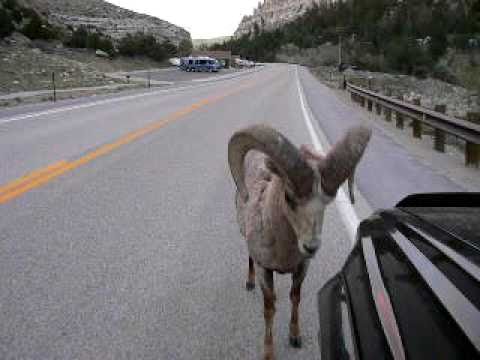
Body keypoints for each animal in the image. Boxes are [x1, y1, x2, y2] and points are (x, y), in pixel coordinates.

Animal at [229, 124, 372, 360]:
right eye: (289, 196)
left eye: (327, 201)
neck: (283, 252)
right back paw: (249, 283)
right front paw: (269, 353)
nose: (310, 247)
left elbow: (295, 297)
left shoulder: (302, 267)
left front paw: (295, 337)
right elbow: (269, 309)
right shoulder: (264, 269)